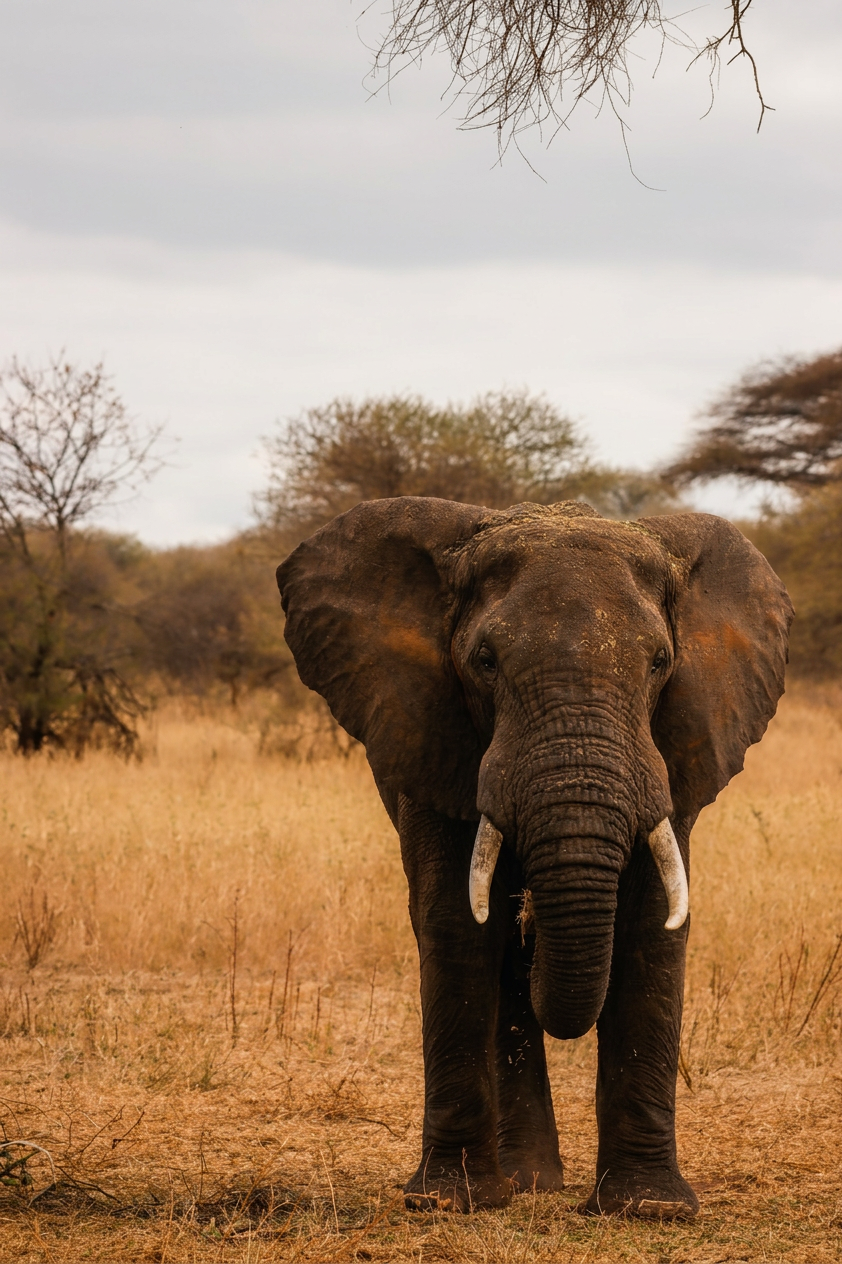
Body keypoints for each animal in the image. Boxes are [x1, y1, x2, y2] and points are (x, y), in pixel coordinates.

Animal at [276, 497, 792, 1219]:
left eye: (660, 662)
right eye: (485, 661)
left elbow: (652, 926)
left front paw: (649, 1209)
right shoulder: (432, 740)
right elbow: (457, 925)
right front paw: (449, 1202)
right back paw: (525, 1182)